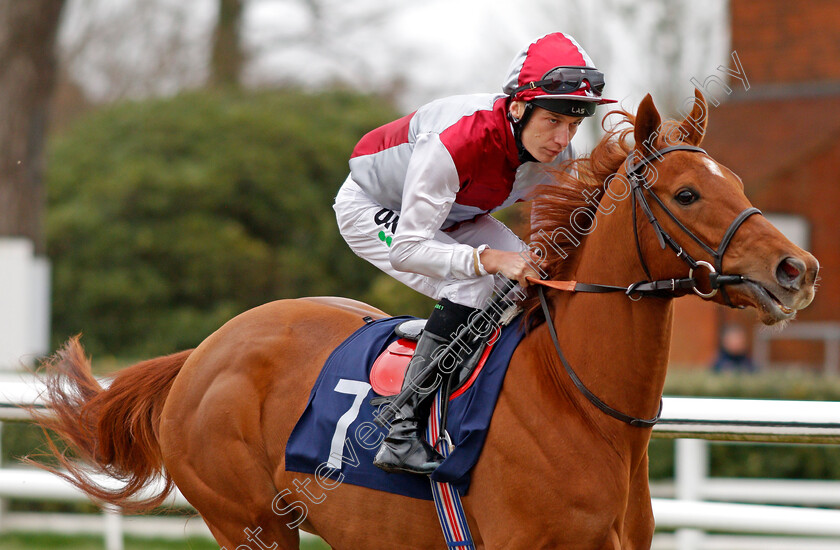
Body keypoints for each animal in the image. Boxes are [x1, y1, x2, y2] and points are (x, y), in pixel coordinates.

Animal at [32, 92, 820, 548]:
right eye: (687, 194)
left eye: (737, 183)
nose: (798, 270)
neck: (580, 406)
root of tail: (203, 351)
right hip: (247, 522)